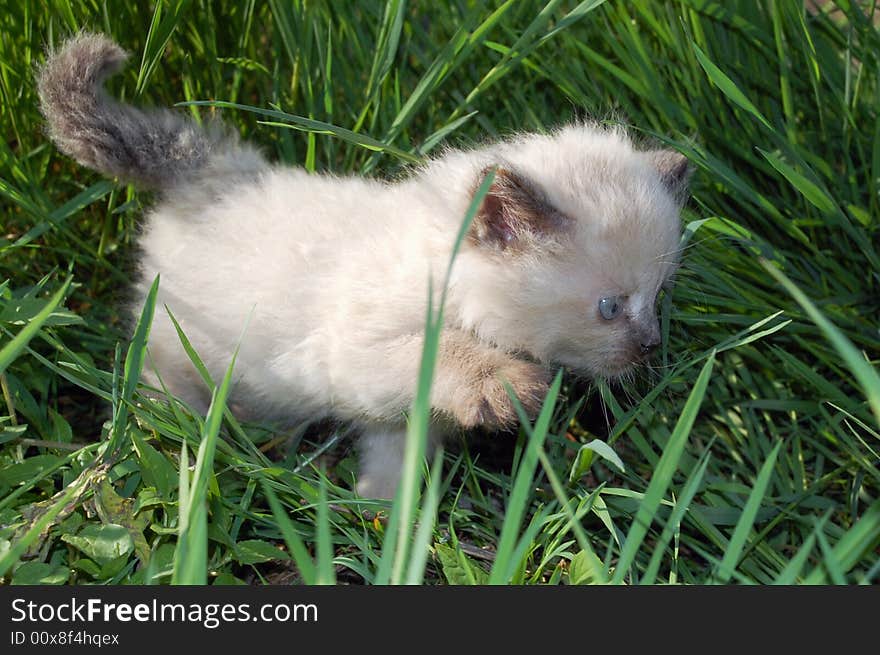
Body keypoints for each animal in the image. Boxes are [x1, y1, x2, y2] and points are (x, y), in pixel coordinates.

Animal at [37, 33, 692, 500]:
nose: (651, 346)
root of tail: (216, 171)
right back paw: (174, 430)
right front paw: (499, 382)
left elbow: (397, 458)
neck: (446, 283)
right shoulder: (351, 353)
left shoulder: (399, 415)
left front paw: (385, 519)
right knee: (152, 379)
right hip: (177, 343)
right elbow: (440, 352)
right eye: (609, 308)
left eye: (658, 295)